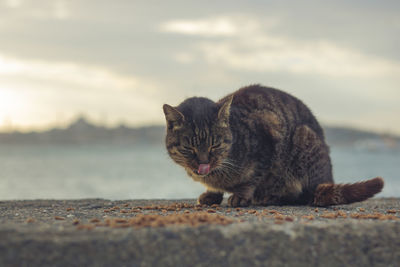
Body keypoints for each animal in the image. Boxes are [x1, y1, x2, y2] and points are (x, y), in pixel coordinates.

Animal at [163, 85, 384, 208]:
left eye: (214, 145)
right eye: (189, 148)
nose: (203, 163)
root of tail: (327, 179)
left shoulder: (268, 140)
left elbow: (253, 178)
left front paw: (241, 196)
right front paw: (211, 194)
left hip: (304, 139)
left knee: (304, 195)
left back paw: (269, 197)